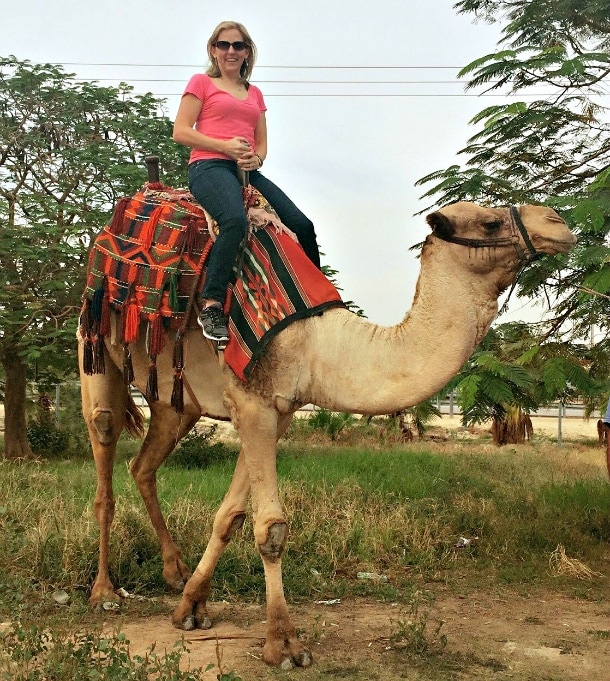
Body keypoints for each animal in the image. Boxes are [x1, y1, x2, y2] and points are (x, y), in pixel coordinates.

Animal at [78, 199, 572, 668]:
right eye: (490, 223)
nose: (558, 223)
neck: (319, 343)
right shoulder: (252, 403)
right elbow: (271, 528)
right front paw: (284, 644)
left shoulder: (277, 412)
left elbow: (230, 516)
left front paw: (191, 607)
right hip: (95, 342)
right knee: (104, 445)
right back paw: (103, 593)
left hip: (178, 401)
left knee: (143, 464)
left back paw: (173, 570)